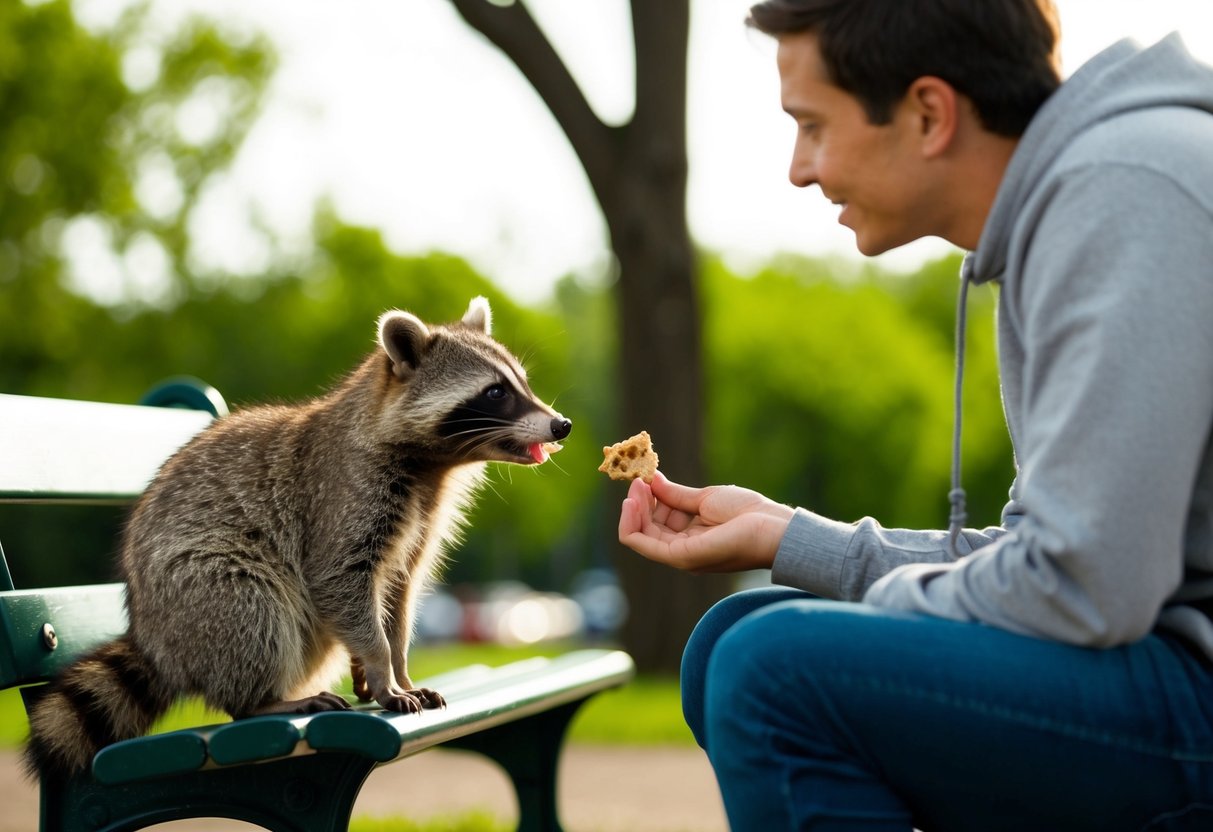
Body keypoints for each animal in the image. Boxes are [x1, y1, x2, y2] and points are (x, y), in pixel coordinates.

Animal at [24, 296, 571, 778]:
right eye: (496, 392)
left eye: (522, 382)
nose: (561, 424)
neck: (431, 466)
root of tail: (153, 639)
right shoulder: (343, 498)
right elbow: (339, 580)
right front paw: (381, 668)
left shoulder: (420, 521)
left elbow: (399, 594)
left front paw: (398, 665)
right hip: (199, 592)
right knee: (254, 606)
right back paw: (261, 701)